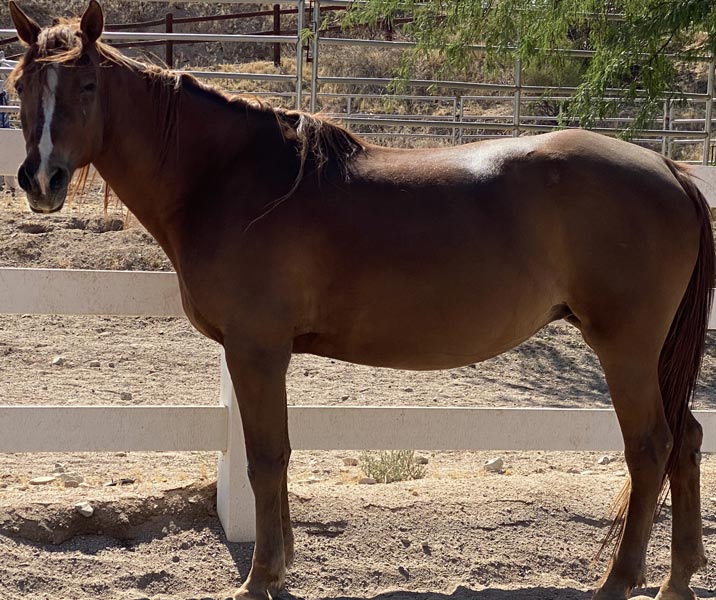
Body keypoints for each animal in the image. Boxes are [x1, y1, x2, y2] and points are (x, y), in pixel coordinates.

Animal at [7, 2, 716, 596]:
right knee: (685, 439)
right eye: (21, 86)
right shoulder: (264, 354)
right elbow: (280, 456)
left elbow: (266, 459)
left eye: (87, 87)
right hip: (652, 354)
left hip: (625, 347)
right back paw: (676, 581)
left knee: (649, 446)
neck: (231, 180)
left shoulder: (256, 350)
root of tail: (670, 169)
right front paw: (280, 567)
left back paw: (619, 582)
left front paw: (260, 578)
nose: (40, 180)